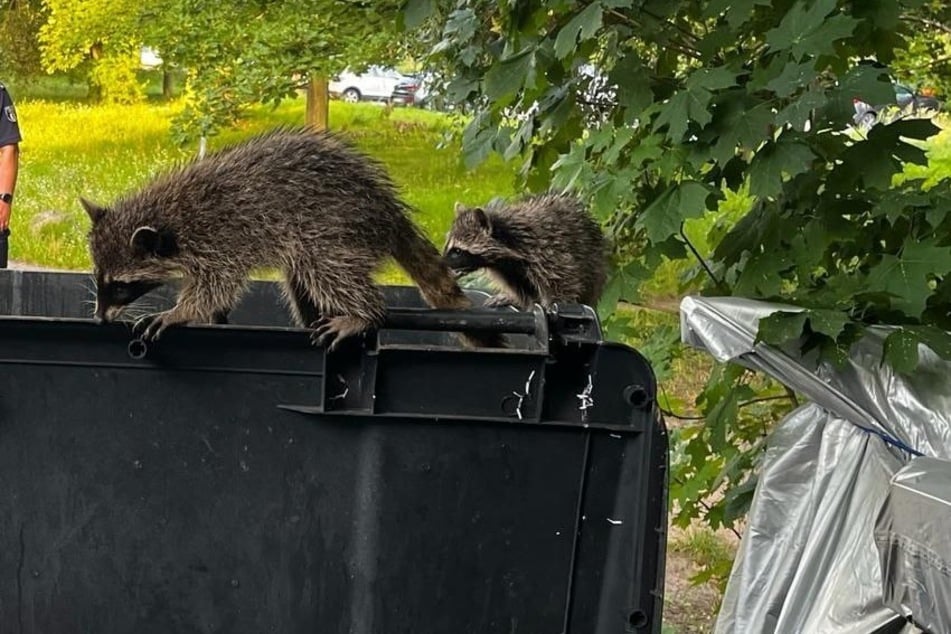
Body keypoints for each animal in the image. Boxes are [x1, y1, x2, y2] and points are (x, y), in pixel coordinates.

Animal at [83, 125, 498, 348]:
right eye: (99, 279)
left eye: (120, 285)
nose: (99, 319)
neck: (168, 216)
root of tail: (388, 210)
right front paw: (211, 317)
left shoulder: (220, 240)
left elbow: (215, 287)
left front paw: (181, 312)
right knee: (302, 282)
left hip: (330, 227)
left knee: (328, 272)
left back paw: (364, 314)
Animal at [442, 193, 608, 312]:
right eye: (446, 247)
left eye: (457, 251)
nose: (441, 263)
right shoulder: (509, 271)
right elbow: (525, 293)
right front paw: (526, 303)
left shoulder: (548, 253)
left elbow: (563, 283)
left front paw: (553, 306)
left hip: (592, 263)